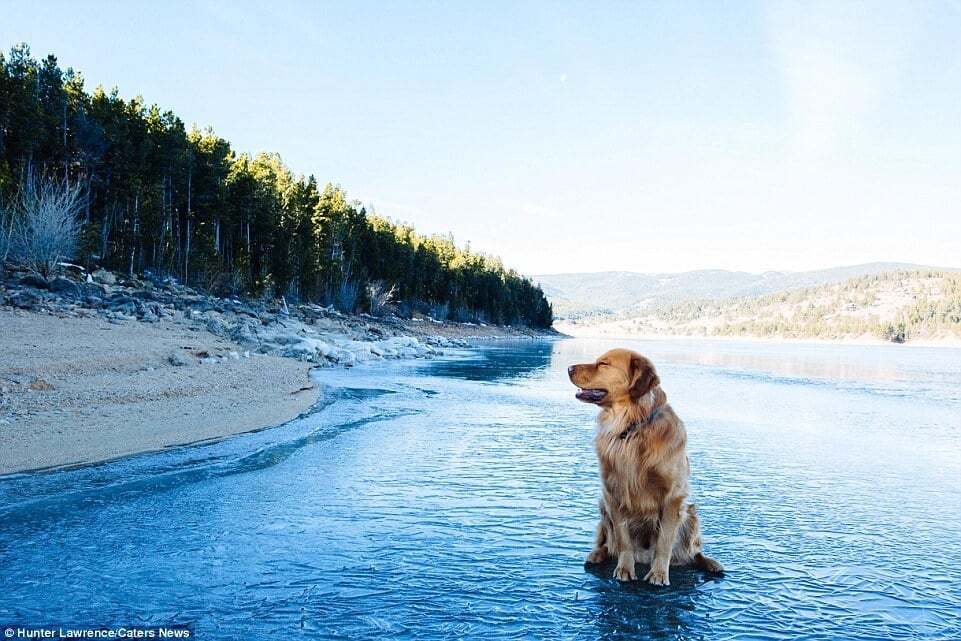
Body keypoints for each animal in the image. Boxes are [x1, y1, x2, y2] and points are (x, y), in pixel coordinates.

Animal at [564, 348, 720, 584]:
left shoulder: (673, 497)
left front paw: (658, 574)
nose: (569, 368)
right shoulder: (613, 492)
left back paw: (710, 563)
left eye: (604, 364)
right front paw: (625, 569)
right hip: (603, 505)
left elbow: (664, 541)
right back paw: (597, 554)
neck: (631, 428)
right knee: (606, 542)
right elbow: (623, 539)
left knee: (694, 552)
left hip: (691, 512)